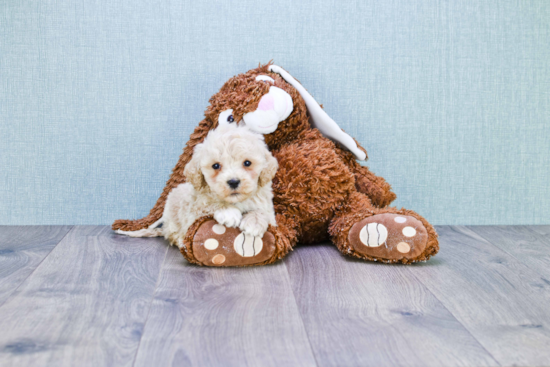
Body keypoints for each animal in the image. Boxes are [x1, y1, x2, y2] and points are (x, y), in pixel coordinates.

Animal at [117, 124, 280, 250]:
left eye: (247, 163)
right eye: (216, 166)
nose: (233, 181)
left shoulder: (268, 209)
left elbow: (262, 212)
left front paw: (254, 222)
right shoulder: (193, 212)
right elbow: (209, 205)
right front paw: (228, 212)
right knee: (172, 234)